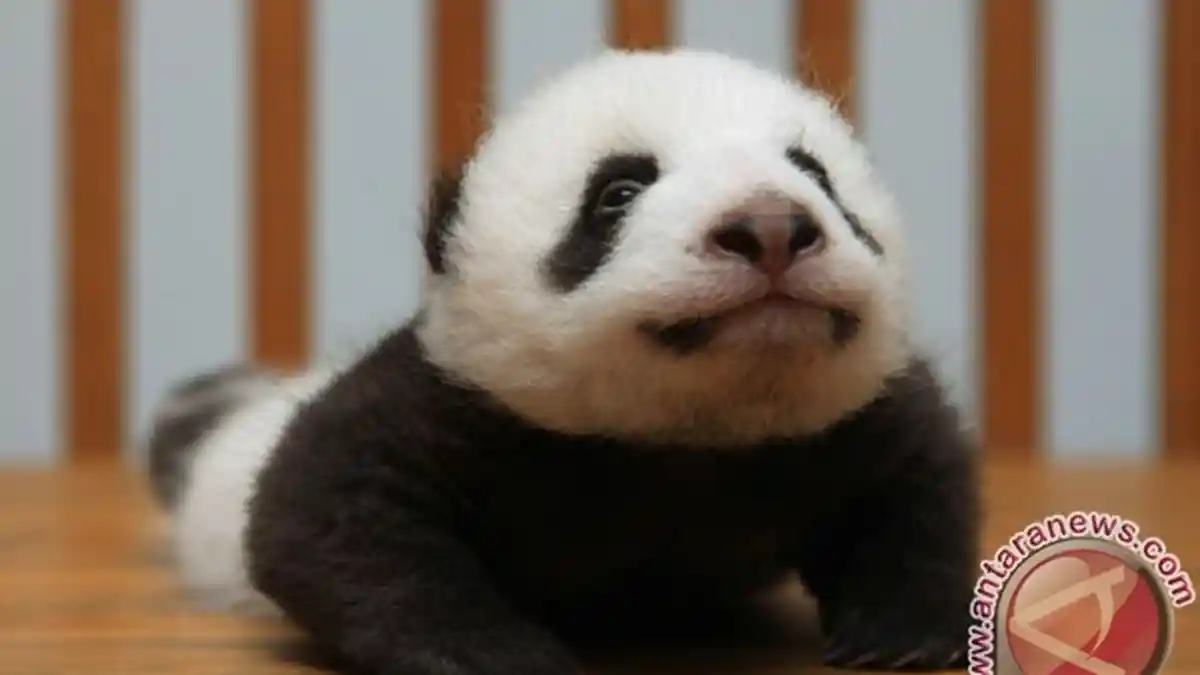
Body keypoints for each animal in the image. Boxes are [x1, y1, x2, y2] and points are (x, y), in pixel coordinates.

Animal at [145, 48, 981, 674]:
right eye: (618, 192)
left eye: (814, 173)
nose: (771, 227)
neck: (696, 427)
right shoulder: (465, 395)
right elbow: (328, 509)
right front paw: (490, 651)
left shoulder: (845, 413)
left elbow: (921, 478)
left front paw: (898, 633)